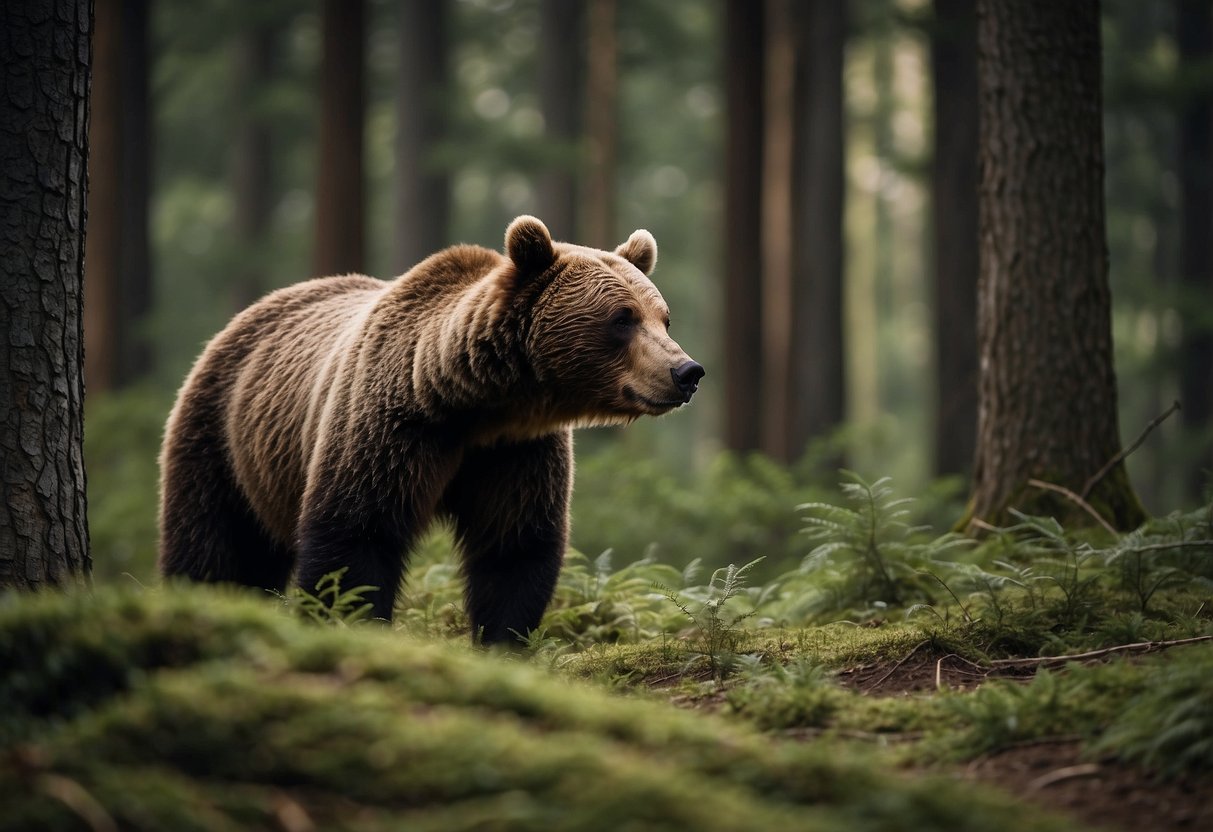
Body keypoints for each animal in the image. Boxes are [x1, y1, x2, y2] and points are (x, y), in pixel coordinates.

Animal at [166, 214, 708, 645]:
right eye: (622, 318)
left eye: (663, 317)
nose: (687, 371)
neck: (475, 405)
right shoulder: (392, 429)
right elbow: (356, 535)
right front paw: (353, 620)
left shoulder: (514, 453)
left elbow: (515, 548)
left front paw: (503, 640)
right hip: (221, 436)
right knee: (213, 544)